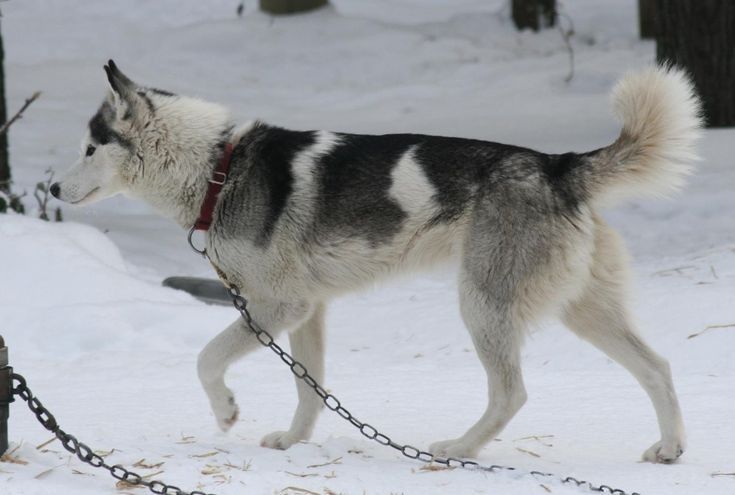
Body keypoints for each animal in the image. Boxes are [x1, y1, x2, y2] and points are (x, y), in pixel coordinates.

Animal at [53, 62, 700, 464]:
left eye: (88, 148)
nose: (53, 188)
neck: (218, 166)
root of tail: (557, 165)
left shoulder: (275, 307)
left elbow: (207, 359)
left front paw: (227, 412)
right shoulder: (307, 311)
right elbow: (310, 389)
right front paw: (293, 442)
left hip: (482, 305)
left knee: (511, 394)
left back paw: (459, 450)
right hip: (582, 311)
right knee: (659, 368)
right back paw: (669, 449)